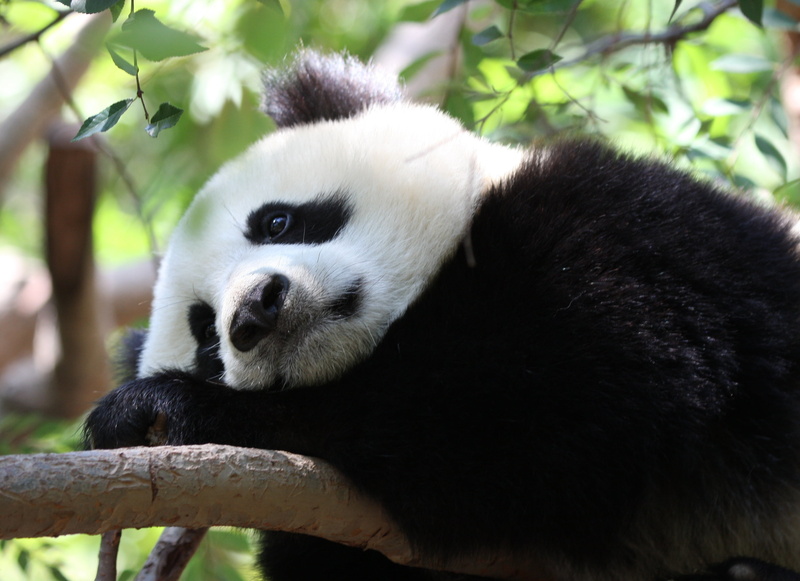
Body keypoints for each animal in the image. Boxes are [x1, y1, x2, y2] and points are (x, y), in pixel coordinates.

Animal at [85, 50, 800, 581]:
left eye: (278, 221)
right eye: (207, 337)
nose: (256, 311)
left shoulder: (626, 233)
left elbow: (553, 402)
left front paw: (165, 409)